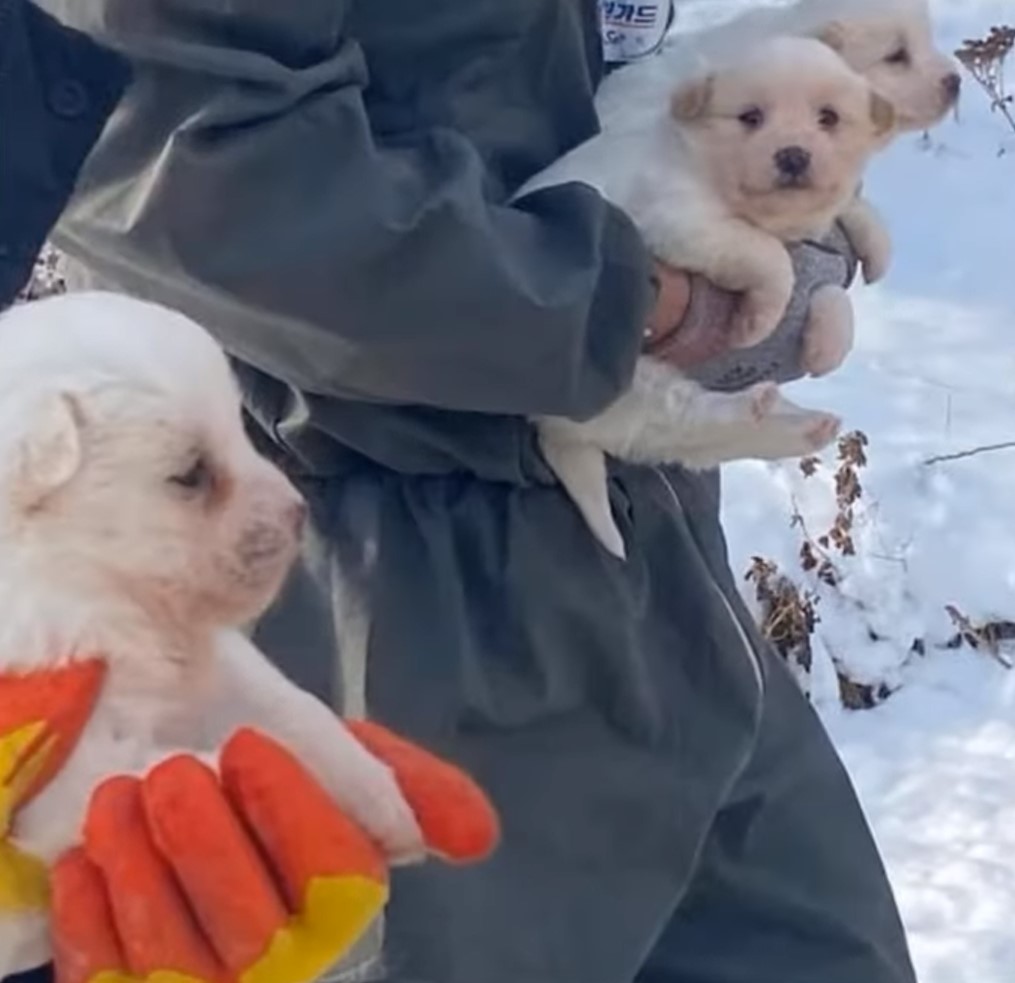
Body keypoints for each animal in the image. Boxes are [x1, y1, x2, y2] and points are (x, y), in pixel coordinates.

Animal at [0, 292, 424, 974]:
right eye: (191, 475)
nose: (297, 513)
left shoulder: (216, 663)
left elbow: (290, 710)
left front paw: (376, 792)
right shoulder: (71, 773)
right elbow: (194, 767)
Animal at [519, 38, 893, 556]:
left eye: (829, 117)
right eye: (751, 117)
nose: (793, 155)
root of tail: (551, 427)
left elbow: (837, 276)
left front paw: (832, 332)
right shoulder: (681, 221)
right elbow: (769, 256)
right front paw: (758, 321)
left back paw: (805, 422)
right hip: (627, 386)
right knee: (693, 426)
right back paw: (762, 410)